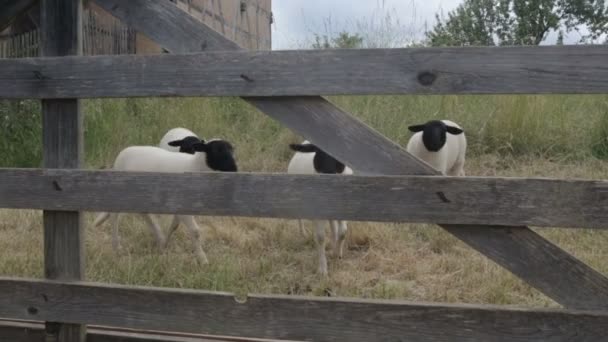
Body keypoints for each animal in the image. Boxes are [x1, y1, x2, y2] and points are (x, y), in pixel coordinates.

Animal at [288, 139, 354, 276]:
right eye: (319, 154)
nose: (328, 175)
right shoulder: (317, 212)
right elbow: (320, 237)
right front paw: (322, 269)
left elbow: (343, 232)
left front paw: (337, 253)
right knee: (300, 218)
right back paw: (303, 233)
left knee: (334, 226)